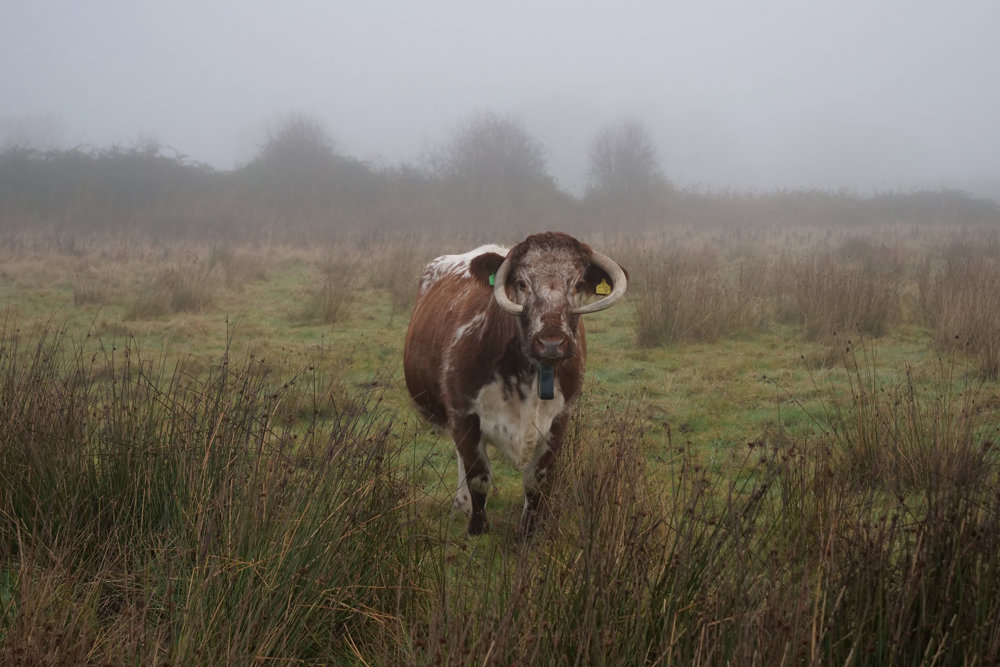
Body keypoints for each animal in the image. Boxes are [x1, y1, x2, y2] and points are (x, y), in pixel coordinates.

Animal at [403, 231, 627, 536]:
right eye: (522, 283)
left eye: (579, 283)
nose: (551, 343)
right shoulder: (463, 413)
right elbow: (478, 476)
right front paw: (477, 529)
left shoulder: (560, 420)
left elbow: (536, 480)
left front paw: (529, 532)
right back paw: (461, 505)